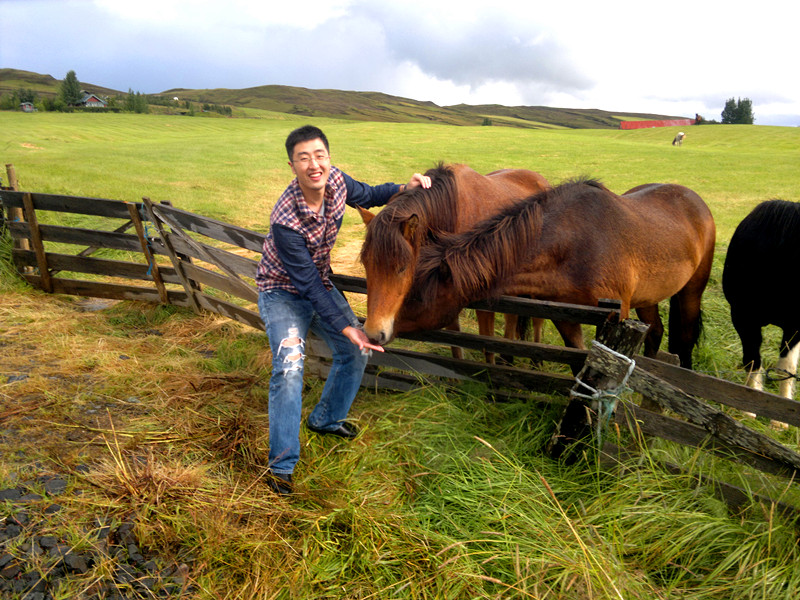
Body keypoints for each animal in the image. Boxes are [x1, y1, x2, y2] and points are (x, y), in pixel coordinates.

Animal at [358, 162, 552, 360]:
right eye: (365, 264)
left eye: (402, 268)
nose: (373, 334)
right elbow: (455, 342)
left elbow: (488, 345)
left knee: (535, 320)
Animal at [386, 178, 712, 368]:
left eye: (415, 297)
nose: (379, 331)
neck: (574, 243)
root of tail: (694, 197)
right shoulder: (566, 317)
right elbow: (578, 361)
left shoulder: (616, 317)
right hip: (648, 298)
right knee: (655, 332)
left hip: (691, 290)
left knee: (684, 338)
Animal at [720, 198, 796, 422]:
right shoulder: (743, 318)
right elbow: (752, 361)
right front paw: (748, 409)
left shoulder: (795, 327)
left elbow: (786, 368)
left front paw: (780, 420)